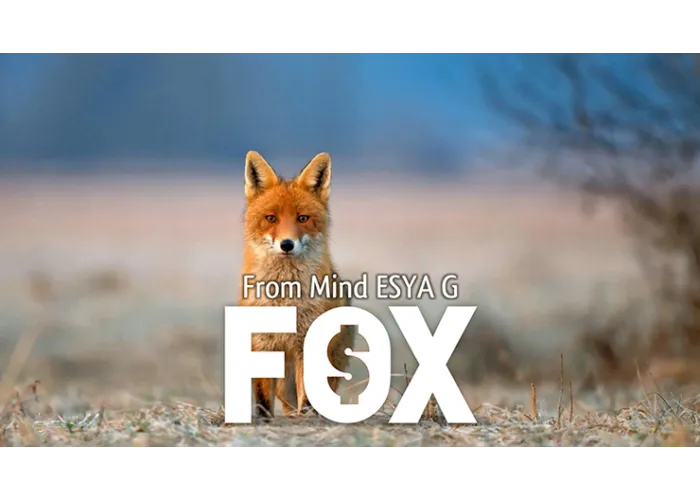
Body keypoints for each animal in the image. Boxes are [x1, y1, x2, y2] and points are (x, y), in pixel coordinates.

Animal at [238, 150, 354, 419]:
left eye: (302, 218)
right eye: (271, 218)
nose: (287, 244)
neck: (285, 299)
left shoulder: (307, 342)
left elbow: (308, 397)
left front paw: (307, 418)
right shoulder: (262, 343)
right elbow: (262, 399)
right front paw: (264, 420)